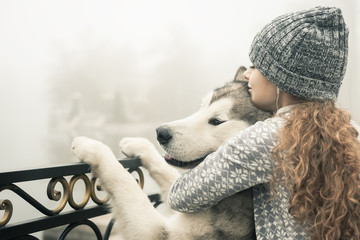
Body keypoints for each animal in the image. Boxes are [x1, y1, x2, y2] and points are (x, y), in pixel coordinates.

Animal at [72, 66, 270, 239]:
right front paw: (138, 144)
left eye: (217, 121)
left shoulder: (159, 233)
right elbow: (164, 170)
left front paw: (90, 146)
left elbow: (124, 181)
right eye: (202, 107)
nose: (161, 133)